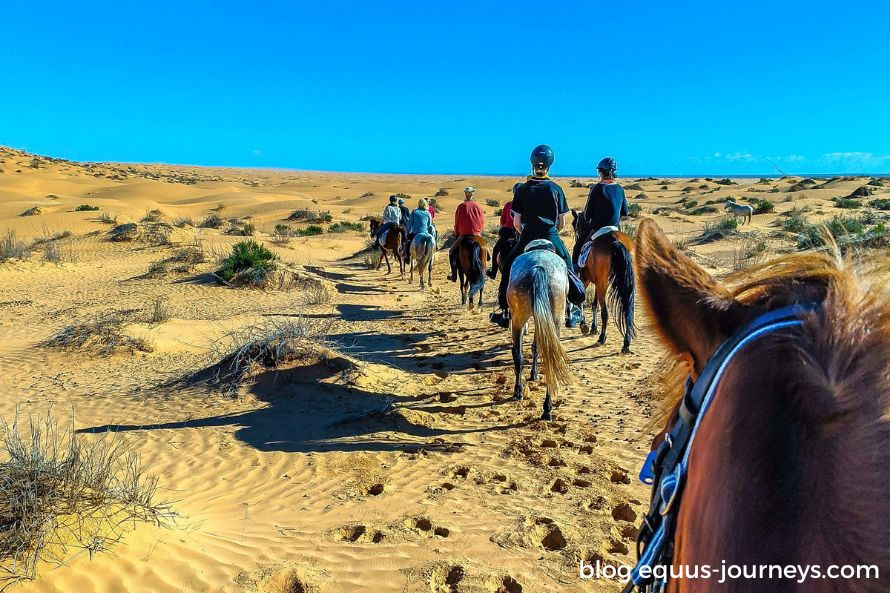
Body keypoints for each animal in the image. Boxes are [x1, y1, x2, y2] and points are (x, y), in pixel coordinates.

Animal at [506, 240, 568, 420]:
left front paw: (533, 374)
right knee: (548, 358)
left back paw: (519, 393)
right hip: (553, 320)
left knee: (518, 354)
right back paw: (547, 408)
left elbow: (534, 347)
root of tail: (538, 268)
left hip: (519, 318)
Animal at [572, 210, 636, 354]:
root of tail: (615, 240)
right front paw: (593, 327)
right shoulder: (597, 282)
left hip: (602, 283)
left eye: (575, 224)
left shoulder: (585, 280)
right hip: (627, 285)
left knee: (605, 312)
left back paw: (602, 338)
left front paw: (584, 325)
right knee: (628, 310)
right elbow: (594, 303)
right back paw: (626, 343)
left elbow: (584, 301)